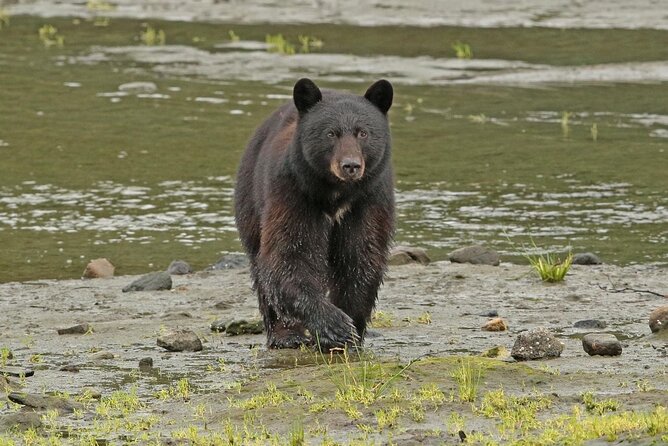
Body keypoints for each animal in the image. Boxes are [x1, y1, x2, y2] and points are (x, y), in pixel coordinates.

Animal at [234, 79, 394, 352]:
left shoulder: (369, 200)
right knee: (259, 265)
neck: (336, 194)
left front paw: (352, 328)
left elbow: (361, 257)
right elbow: (288, 256)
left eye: (363, 132)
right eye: (331, 133)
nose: (350, 165)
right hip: (251, 200)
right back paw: (286, 335)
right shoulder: (294, 194)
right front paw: (336, 326)